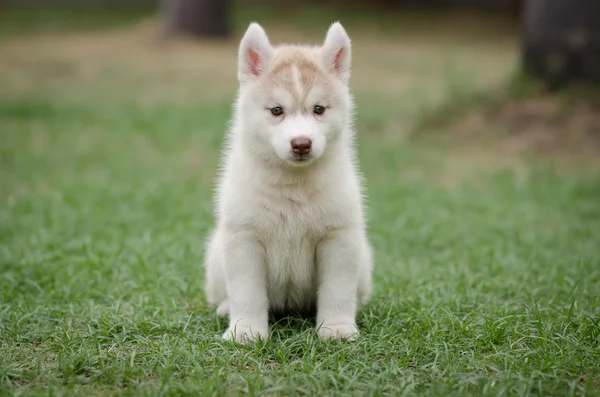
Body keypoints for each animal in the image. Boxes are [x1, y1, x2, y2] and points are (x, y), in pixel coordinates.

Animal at [206, 21, 376, 342]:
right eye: (277, 110)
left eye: (319, 109)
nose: (301, 144)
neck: (293, 186)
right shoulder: (244, 238)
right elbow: (246, 293)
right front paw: (246, 330)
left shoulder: (338, 238)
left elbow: (337, 291)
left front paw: (336, 327)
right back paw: (224, 309)